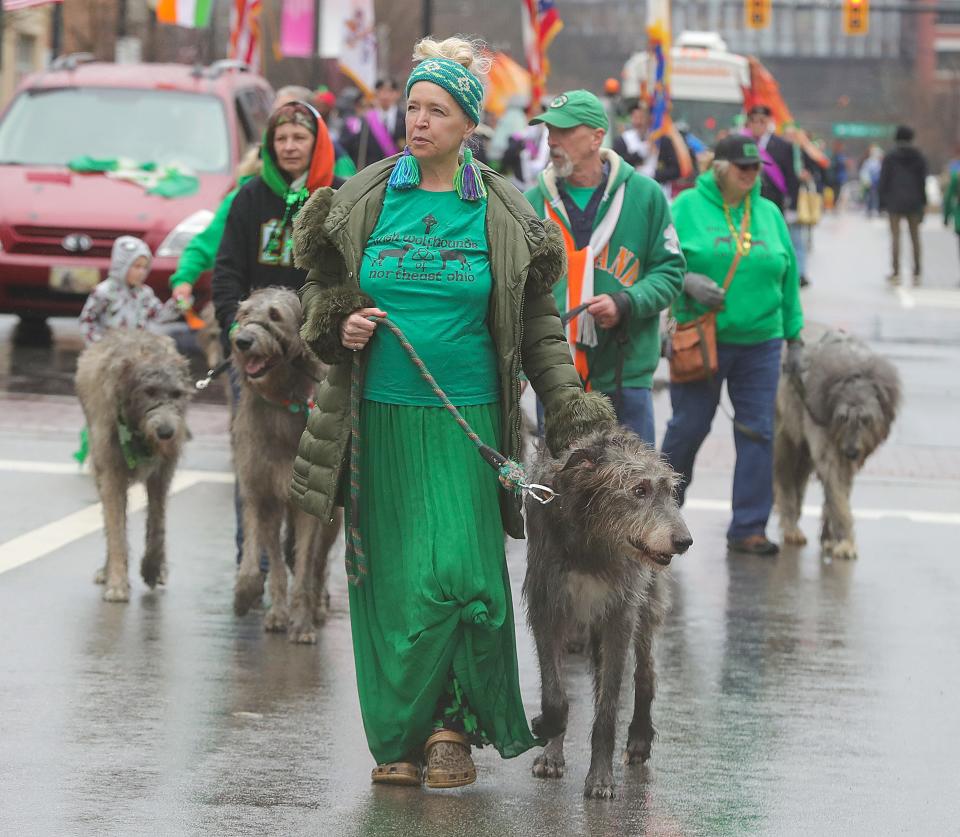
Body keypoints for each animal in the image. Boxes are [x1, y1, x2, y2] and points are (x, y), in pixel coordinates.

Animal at [74, 328, 192, 600]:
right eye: (149, 391)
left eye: (177, 394)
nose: (166, 432)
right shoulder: (111, 470)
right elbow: (115, 527)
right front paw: (117, 581)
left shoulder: (163, 470)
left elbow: (158, 521)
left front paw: (152, 567)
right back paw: (108, 569)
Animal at [229, 288, 342, 640]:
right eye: (244, 315)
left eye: (275, 316)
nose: (243, 342)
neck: (281, 401)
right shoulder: (261, 492)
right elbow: (264, 558)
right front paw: (251, 597)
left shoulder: (308, 506)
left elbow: (305, 565)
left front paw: (302, 623)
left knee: (319, 563)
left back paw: (318, 607)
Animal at [524, 428, 688, 800]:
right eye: (639, 490)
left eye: (669, 491)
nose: (684, 541)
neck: (593, 540)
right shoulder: (548, 606)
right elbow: (555, 693)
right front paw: (549, 737)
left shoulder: (620, 614)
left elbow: (608, 706)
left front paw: (600, 777)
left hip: (647, 600)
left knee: (645, 672)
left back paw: (639, 738)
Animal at [772, 330, 900, 560]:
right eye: (842, 418)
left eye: (866, 419)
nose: (851, 452)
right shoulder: (828, 445)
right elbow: (836, 490)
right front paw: (846, 542)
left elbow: (839, 492)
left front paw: (831, 538)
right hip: (784, 436)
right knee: (785, 479)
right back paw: (791, 527)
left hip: (803, 452)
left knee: (799, 480)